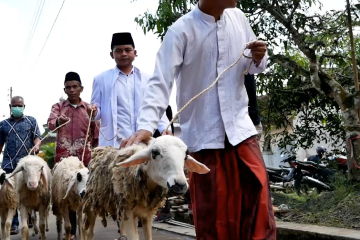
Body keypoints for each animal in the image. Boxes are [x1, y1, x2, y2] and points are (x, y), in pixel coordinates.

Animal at [82, 135, 210, 240]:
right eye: (155, 152)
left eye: (186, 155)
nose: (180, 185)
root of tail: (100, 149)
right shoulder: (128, 212)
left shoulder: (147, 215)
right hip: (91, 203)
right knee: (89, 231)